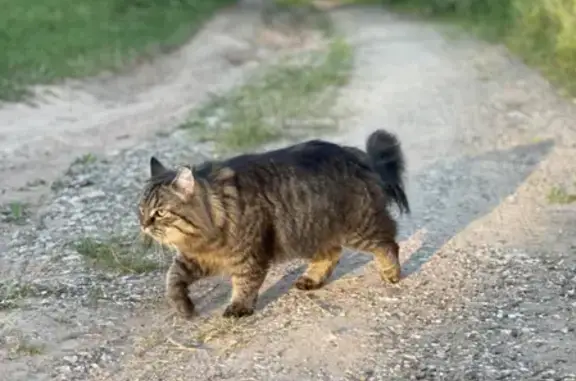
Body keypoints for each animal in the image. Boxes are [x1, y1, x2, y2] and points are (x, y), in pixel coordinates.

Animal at [138, 129, 410, 320]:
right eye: (141, 210)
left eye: (160, 212)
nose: (143, 224)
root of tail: (355, 155)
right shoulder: (198, 258)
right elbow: (173, 279)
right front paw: (184, 308)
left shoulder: (247, 255)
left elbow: (244, 283)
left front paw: (238, 307)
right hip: (311, 230)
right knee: (331, 253)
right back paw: (310, 279)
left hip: (356, 226)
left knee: (387, 243)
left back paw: (391, 273)